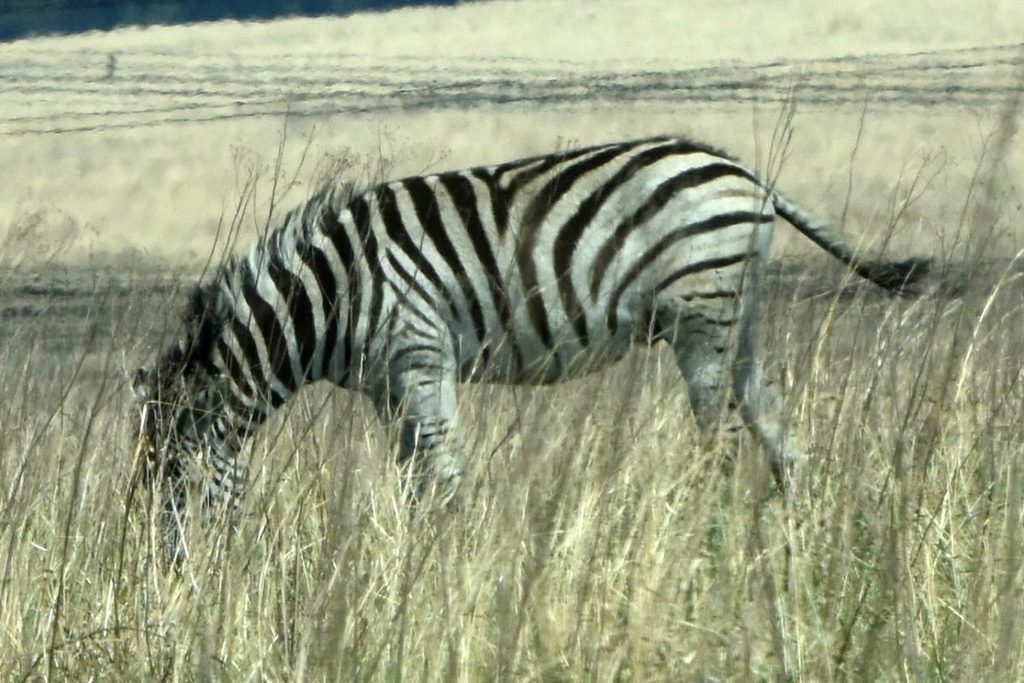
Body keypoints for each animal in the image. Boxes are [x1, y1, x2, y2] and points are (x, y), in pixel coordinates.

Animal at [132, 135, 928, 563]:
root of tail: (747, 174)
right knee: (773, 418)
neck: (332, 296)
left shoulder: (420, 355)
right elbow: (414, 480)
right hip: (740, 317)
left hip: (701, 317)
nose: (165, 574)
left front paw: (450, 565)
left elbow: (446, 475)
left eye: (173, 477)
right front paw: (416, 558)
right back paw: (797, 529)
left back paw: (713, 535)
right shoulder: (389, 387)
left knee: (721, 441)